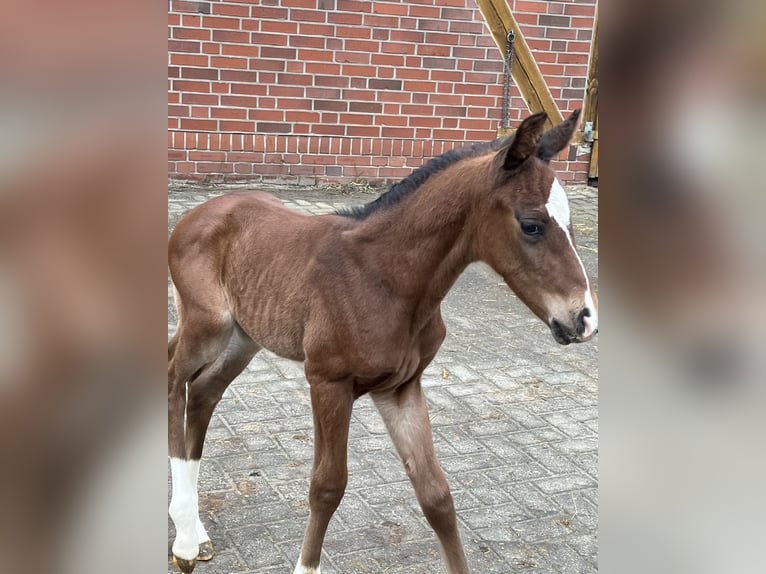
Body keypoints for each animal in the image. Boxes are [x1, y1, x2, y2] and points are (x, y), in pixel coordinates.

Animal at [168, 111, 600, 574]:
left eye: (571, 223)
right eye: (531, 224)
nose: (585, 319)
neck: (385, 278)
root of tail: (197, 213)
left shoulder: (400, 388)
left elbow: (436, 495)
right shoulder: (328, 382)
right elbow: (327, 487)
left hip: (244, 337)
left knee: (204, 391)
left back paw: (195, 530)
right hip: (208, 325)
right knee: (175, 377)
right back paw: (184, 540)